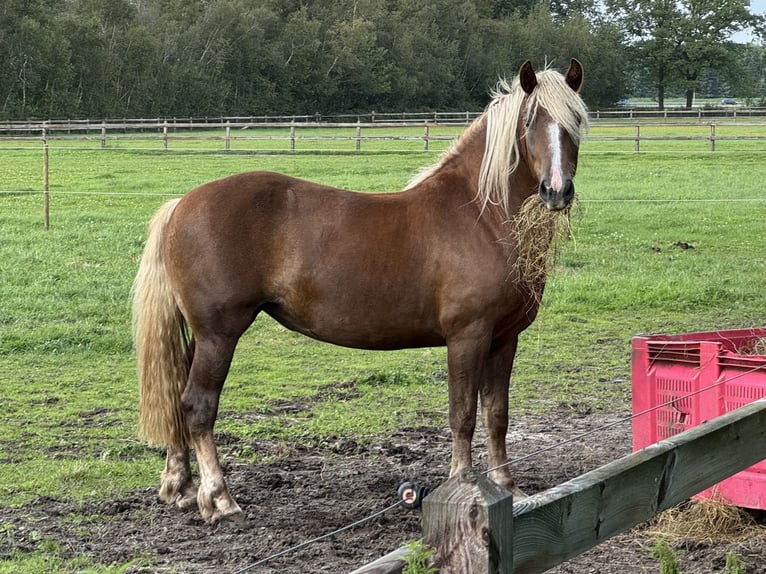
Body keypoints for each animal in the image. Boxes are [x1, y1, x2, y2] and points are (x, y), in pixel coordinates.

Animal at [134, 59, 588, 528]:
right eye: (530, 121)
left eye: (576, 120)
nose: (557, 190)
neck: (479, 215)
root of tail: (181, 204)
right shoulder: (468, 336)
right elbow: (462, 414)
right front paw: (464, 485)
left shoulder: (504, 338)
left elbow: (497, 415)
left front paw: (508, 487)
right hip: (219, 335)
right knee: (198, 405)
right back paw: (219, 499)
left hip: (199, 337)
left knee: (176, 397)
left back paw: (181, 487)